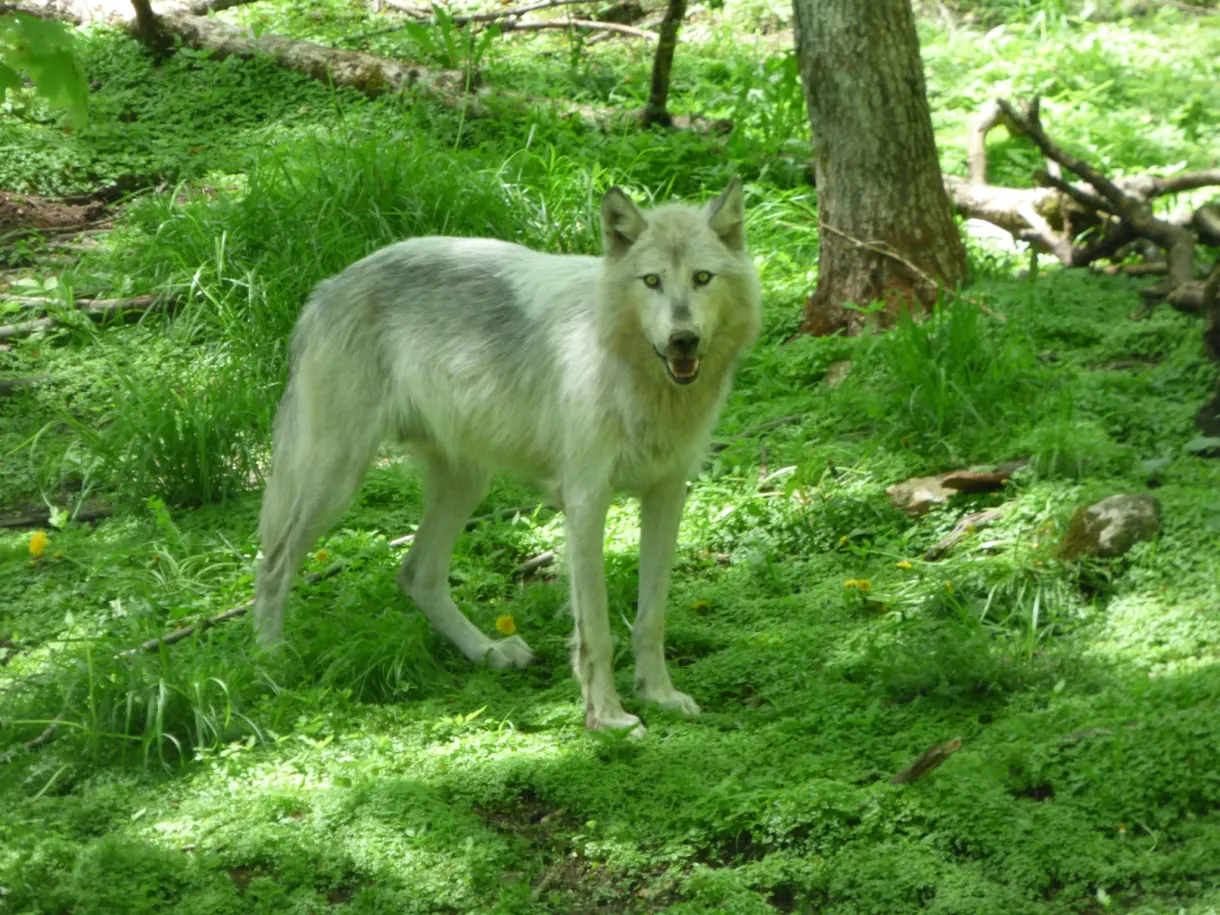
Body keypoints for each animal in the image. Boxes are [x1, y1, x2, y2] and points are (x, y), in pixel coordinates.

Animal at [252, 178, 762, 733]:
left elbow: (651, 617)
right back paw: (271, 664)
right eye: (651, 281)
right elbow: (596, 630)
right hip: (337, 481)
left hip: (465, 484)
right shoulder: (585, 502)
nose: (682, 340)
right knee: (273, 565)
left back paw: (490, 652)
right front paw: (607, 716)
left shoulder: (668, 494)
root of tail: (325, 290)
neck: (642, 382)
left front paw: (660, 696)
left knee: (415, 574)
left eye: (702, 278)